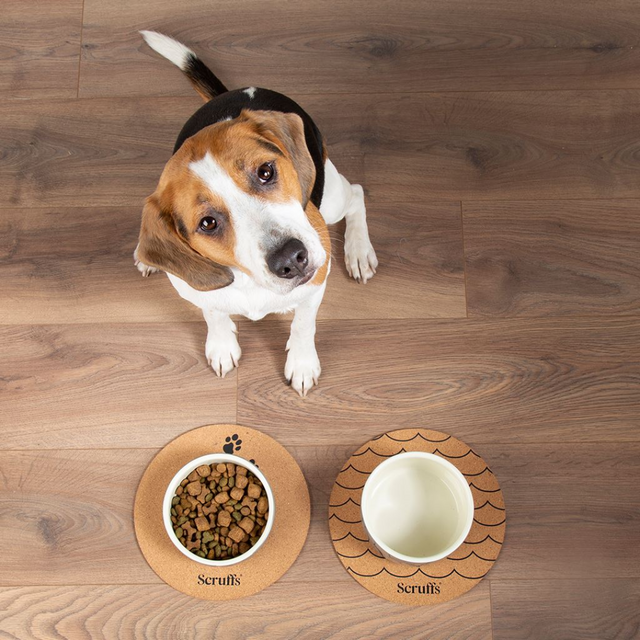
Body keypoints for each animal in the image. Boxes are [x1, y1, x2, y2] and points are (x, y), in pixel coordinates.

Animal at [133, 31, 378, 396]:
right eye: (208, 223)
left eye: (265, 172)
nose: (291, 258)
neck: (250, 282)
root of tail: (240, 91)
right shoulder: (199, 292)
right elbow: (214, 312)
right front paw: (222, 345)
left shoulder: (316, 282)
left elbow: (303, 324)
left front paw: (302, 363)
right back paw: (145, 260)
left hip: (331, 198)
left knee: (357, 196)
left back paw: (359, 251)